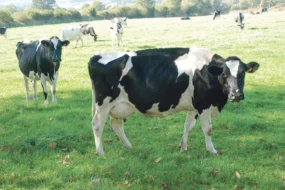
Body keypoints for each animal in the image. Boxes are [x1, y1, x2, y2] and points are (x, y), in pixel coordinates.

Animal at [87, 47, 258, 154]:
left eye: (243, 73)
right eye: (224, 74)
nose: (237, 94)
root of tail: (96, 55)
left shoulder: (194, 106)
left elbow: (188, 126)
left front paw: (183, 147)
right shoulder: (204, 104)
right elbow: (207, 129)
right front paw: (211, 150)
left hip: (119, 106)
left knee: (116, 125)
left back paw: (129, 146)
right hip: (103, 103)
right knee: (97, 125)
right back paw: (100, 152)